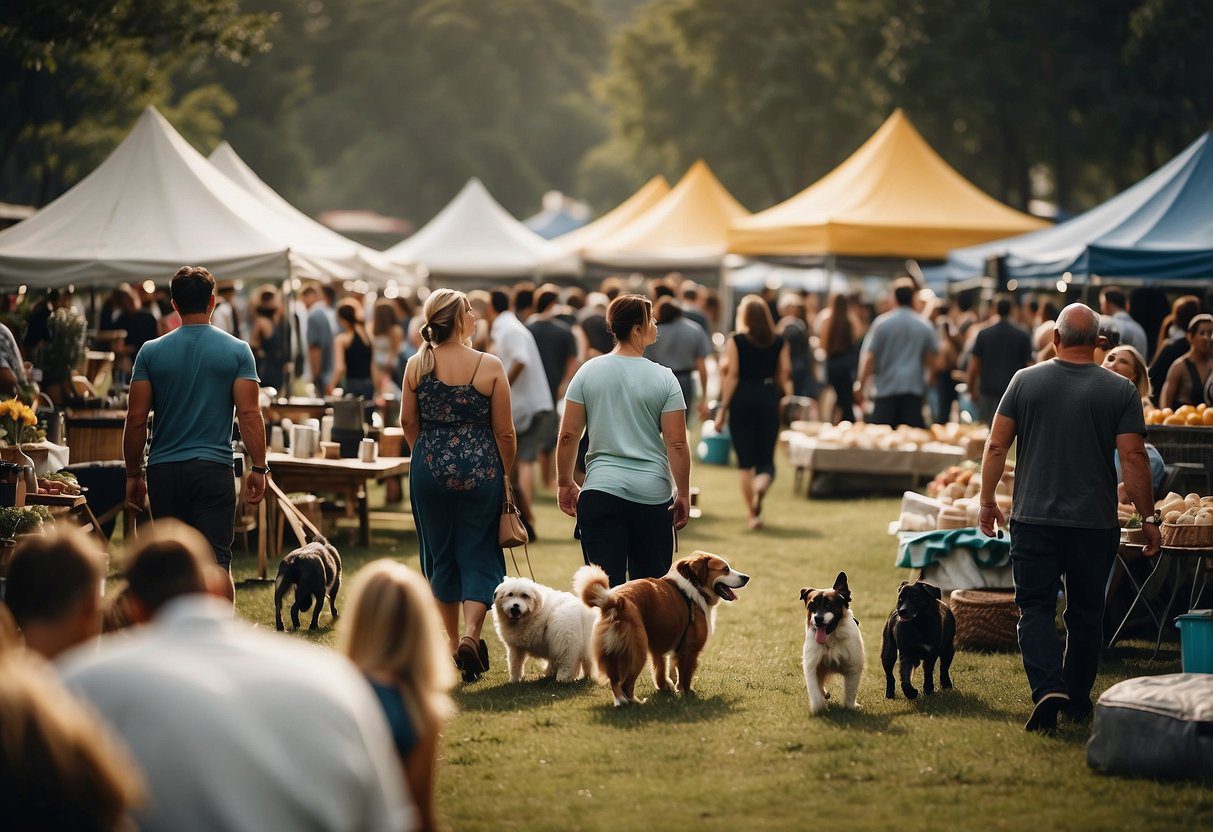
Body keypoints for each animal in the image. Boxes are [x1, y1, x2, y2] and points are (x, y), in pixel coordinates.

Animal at [570, 550, 747, 708]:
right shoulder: (689, 649)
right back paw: (634, 703)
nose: (747, 577)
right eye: (725, 569)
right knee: (626, 683)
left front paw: (665, 688)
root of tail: (614, 601)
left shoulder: (659, 645)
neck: (693, 585)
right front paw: (687, 693)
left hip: (612, 653)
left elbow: (660, 669)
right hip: (637, 652)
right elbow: (685, 675)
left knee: (615, 680)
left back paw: (621, 701)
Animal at [800, 572, 868, 717]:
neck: (831, 639)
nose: (818, 619)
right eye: (812, 606)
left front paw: (850, 706)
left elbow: (851, 689)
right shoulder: (812, 664)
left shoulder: (853, 665)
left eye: (829, 605)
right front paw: (818, 707)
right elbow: (814, 688)